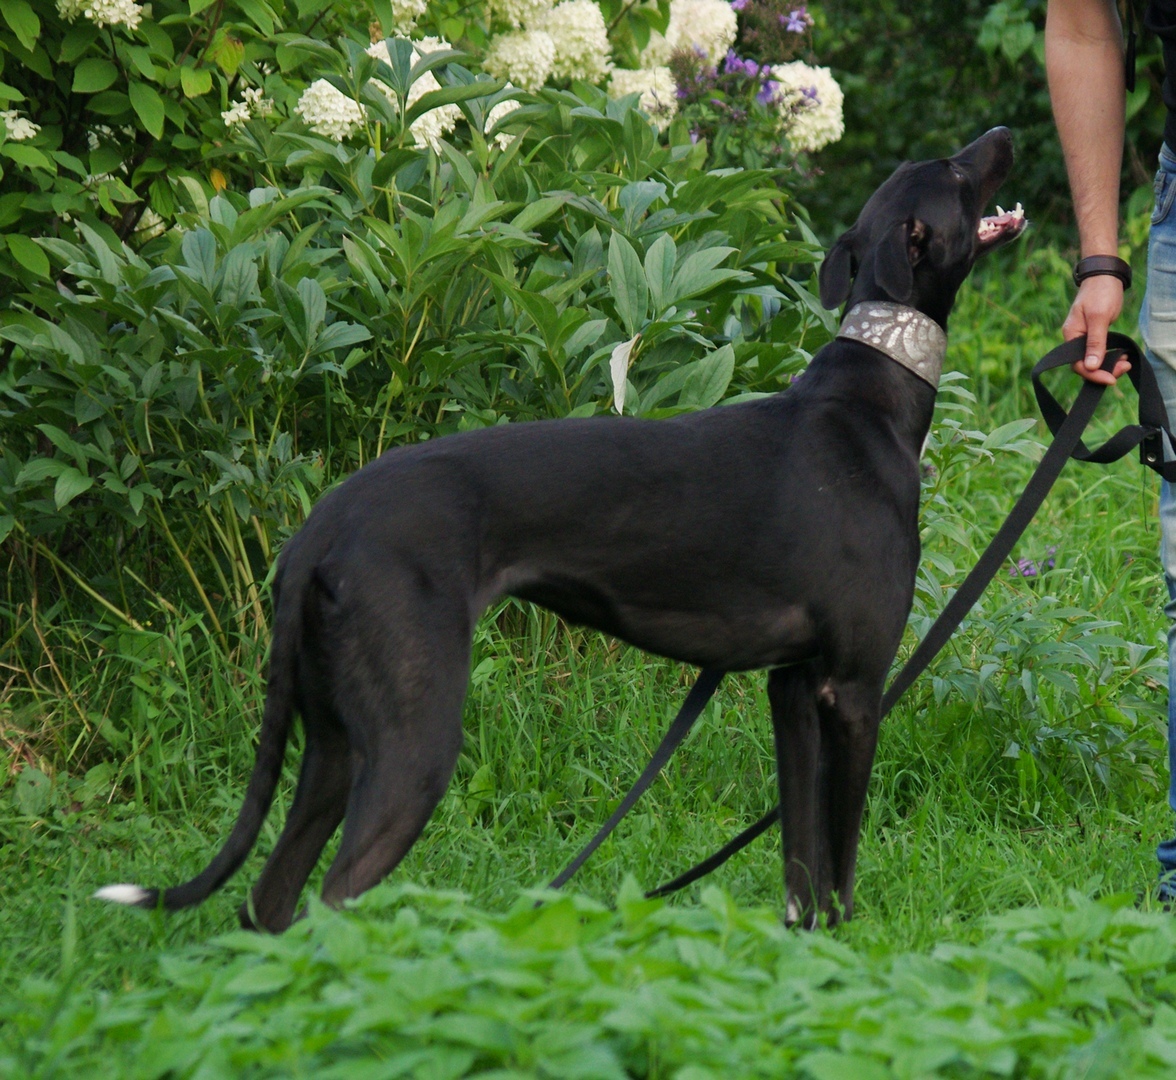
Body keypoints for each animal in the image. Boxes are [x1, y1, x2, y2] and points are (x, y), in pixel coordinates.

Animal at [96, 128, 1025, 931]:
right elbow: (840, 869)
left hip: (330, 742)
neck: (869, 394)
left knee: (271, 902)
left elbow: (800, 874)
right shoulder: (854, 689)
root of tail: (319, 528)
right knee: (333, 897)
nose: (1006, 133)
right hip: (414, 740)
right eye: (953, 170)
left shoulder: (792, 690)